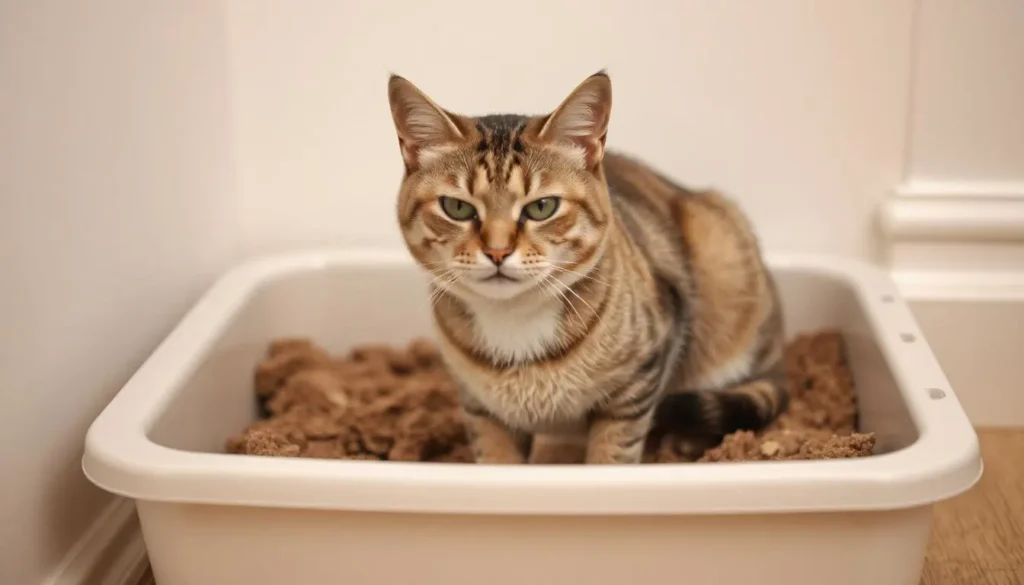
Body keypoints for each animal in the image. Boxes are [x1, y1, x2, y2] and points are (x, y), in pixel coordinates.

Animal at [385, 68, 782, 465]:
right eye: (457, 208)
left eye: (542, 207)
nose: (498, 251)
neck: (514, 321)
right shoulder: (479, 405)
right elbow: (496, 456)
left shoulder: (640, 378)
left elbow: (611, 452)